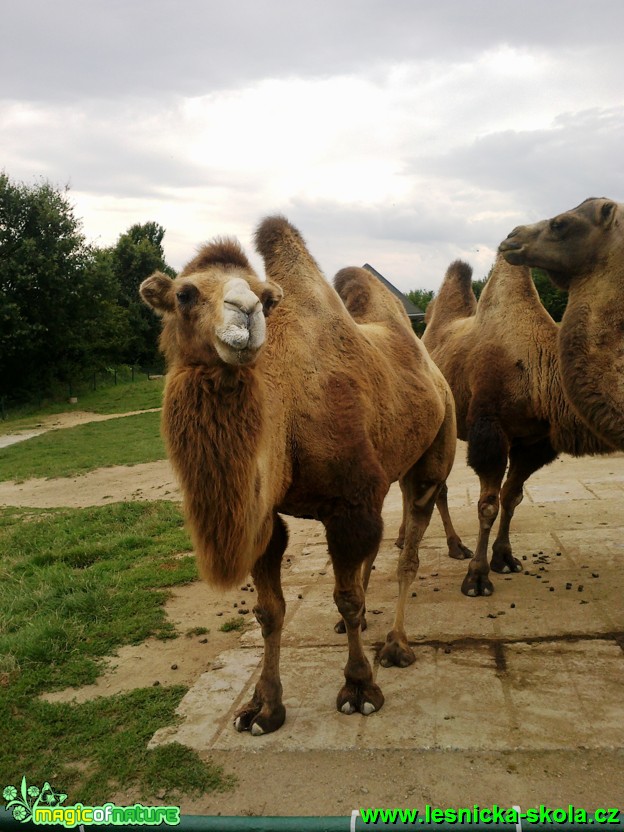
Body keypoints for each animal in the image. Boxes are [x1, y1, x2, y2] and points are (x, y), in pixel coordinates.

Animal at [139, 216, 456, 736]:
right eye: (185, 294)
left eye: (266, 298)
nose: (246, 312)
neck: (285, 415)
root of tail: (429, 364)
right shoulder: (266, 516)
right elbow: (270, 611)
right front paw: (263, 707)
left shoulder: (349, 504)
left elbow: (345, 597)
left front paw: (359, 689)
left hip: (433, 448)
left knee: (410, 545)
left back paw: (396, 644)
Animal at [422, 255, 612, 600]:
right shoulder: (490, 433)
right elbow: (488, 506)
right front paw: (477, 578)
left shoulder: (534, 441)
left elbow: (512, 498)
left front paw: (505, 558)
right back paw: (448, 546)